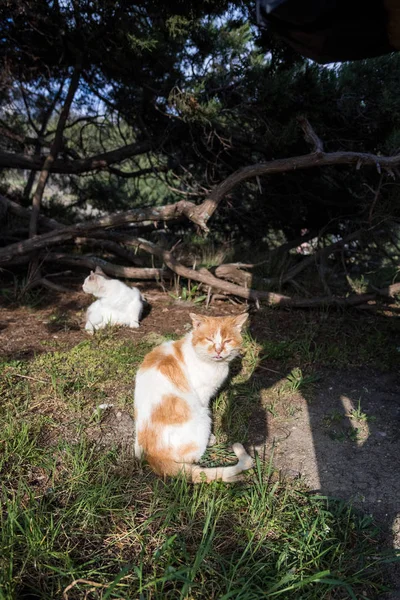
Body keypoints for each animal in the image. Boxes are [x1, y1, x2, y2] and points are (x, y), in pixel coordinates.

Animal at [134, 312, 253, 480]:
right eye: (209, 339)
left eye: (227, 340)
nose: (218, 350)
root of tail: (153, 456)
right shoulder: (203, 395)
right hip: (204, 416)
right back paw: (209, 440)